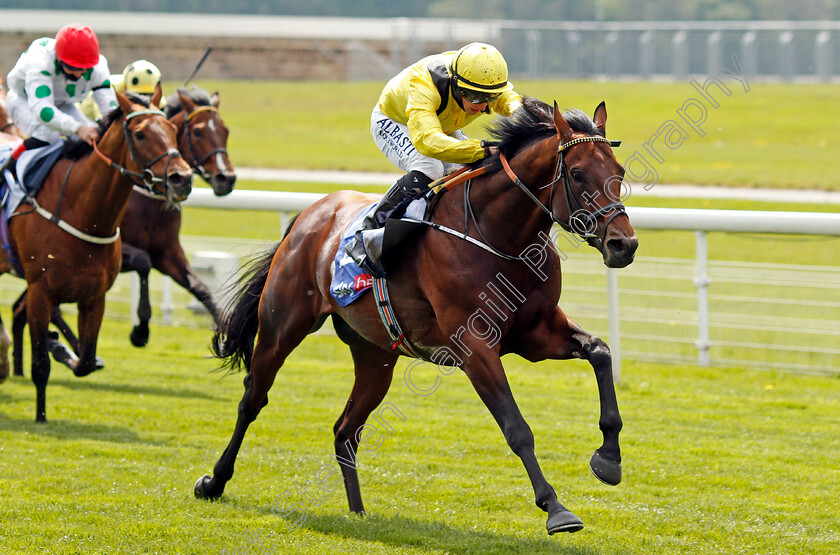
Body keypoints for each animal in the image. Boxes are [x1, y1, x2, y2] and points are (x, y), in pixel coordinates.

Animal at [0, 91, 191, 422]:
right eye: (140, 134)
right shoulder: (40, 290)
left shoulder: (94, 295)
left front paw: (63, 349)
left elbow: (86, 361)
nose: (182, 178)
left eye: (173, 129)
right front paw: (41, 415)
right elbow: (41, 365)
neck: (83, 212)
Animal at [10, 86, 236, 370]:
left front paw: (228, 338)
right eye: (197, 132)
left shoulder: (167, 252)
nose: (226, 178)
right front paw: (140, 331)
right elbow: (142, 262)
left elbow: (200, 288)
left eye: (225, 130)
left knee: (24, 307)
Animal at [195, 99, 636, 536]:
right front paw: (556, 508)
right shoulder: (475, 347)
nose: (624, 245)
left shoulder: (535, 334)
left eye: (619, 172)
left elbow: (600, 351)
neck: (500, 238)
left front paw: (608, 459)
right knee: (252, 400)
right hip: (281, 329)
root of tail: (309, 215)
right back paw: (214, 481)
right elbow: (516, 428)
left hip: (375, 354)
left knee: (345, 429)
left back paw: (358, 513)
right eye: (577, 173)